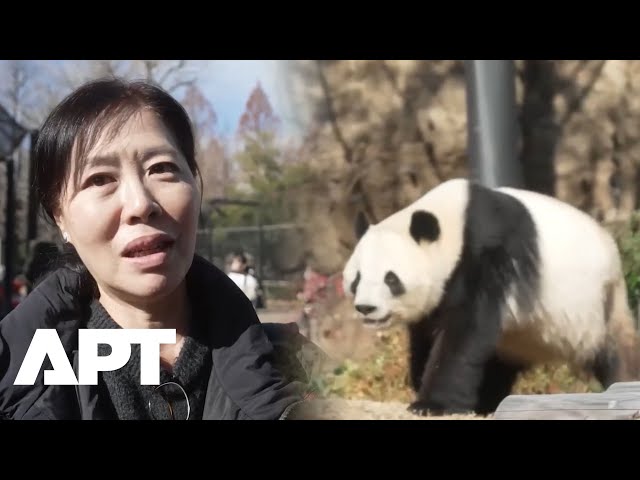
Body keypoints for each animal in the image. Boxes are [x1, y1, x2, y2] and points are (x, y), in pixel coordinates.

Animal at [342, 178, 640, 416]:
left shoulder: (486, 257)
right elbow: (426, 335)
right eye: (357, 278)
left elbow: (464, 331)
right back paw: (485, 402)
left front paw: (430, 404)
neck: (455, 222)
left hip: (597, 307)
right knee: (497, 364)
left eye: (391, 279)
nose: (366, 308)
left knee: (618, 354)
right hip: (518, 338)